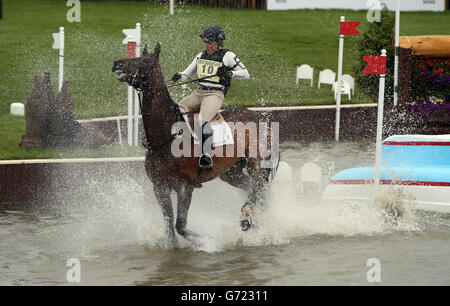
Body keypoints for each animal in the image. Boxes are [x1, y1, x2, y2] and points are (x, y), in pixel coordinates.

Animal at [112, 43, 280, 249]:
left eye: (145, 62)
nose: (117, 63)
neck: (166, 136)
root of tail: (261, 117)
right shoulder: (160, 187)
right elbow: (169, 226)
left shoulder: (185, 187)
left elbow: (180, 225)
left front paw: (209, 241)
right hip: (231, 172)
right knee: (252, 188)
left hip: (257, 164)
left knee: (258, 188)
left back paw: (246, 218)